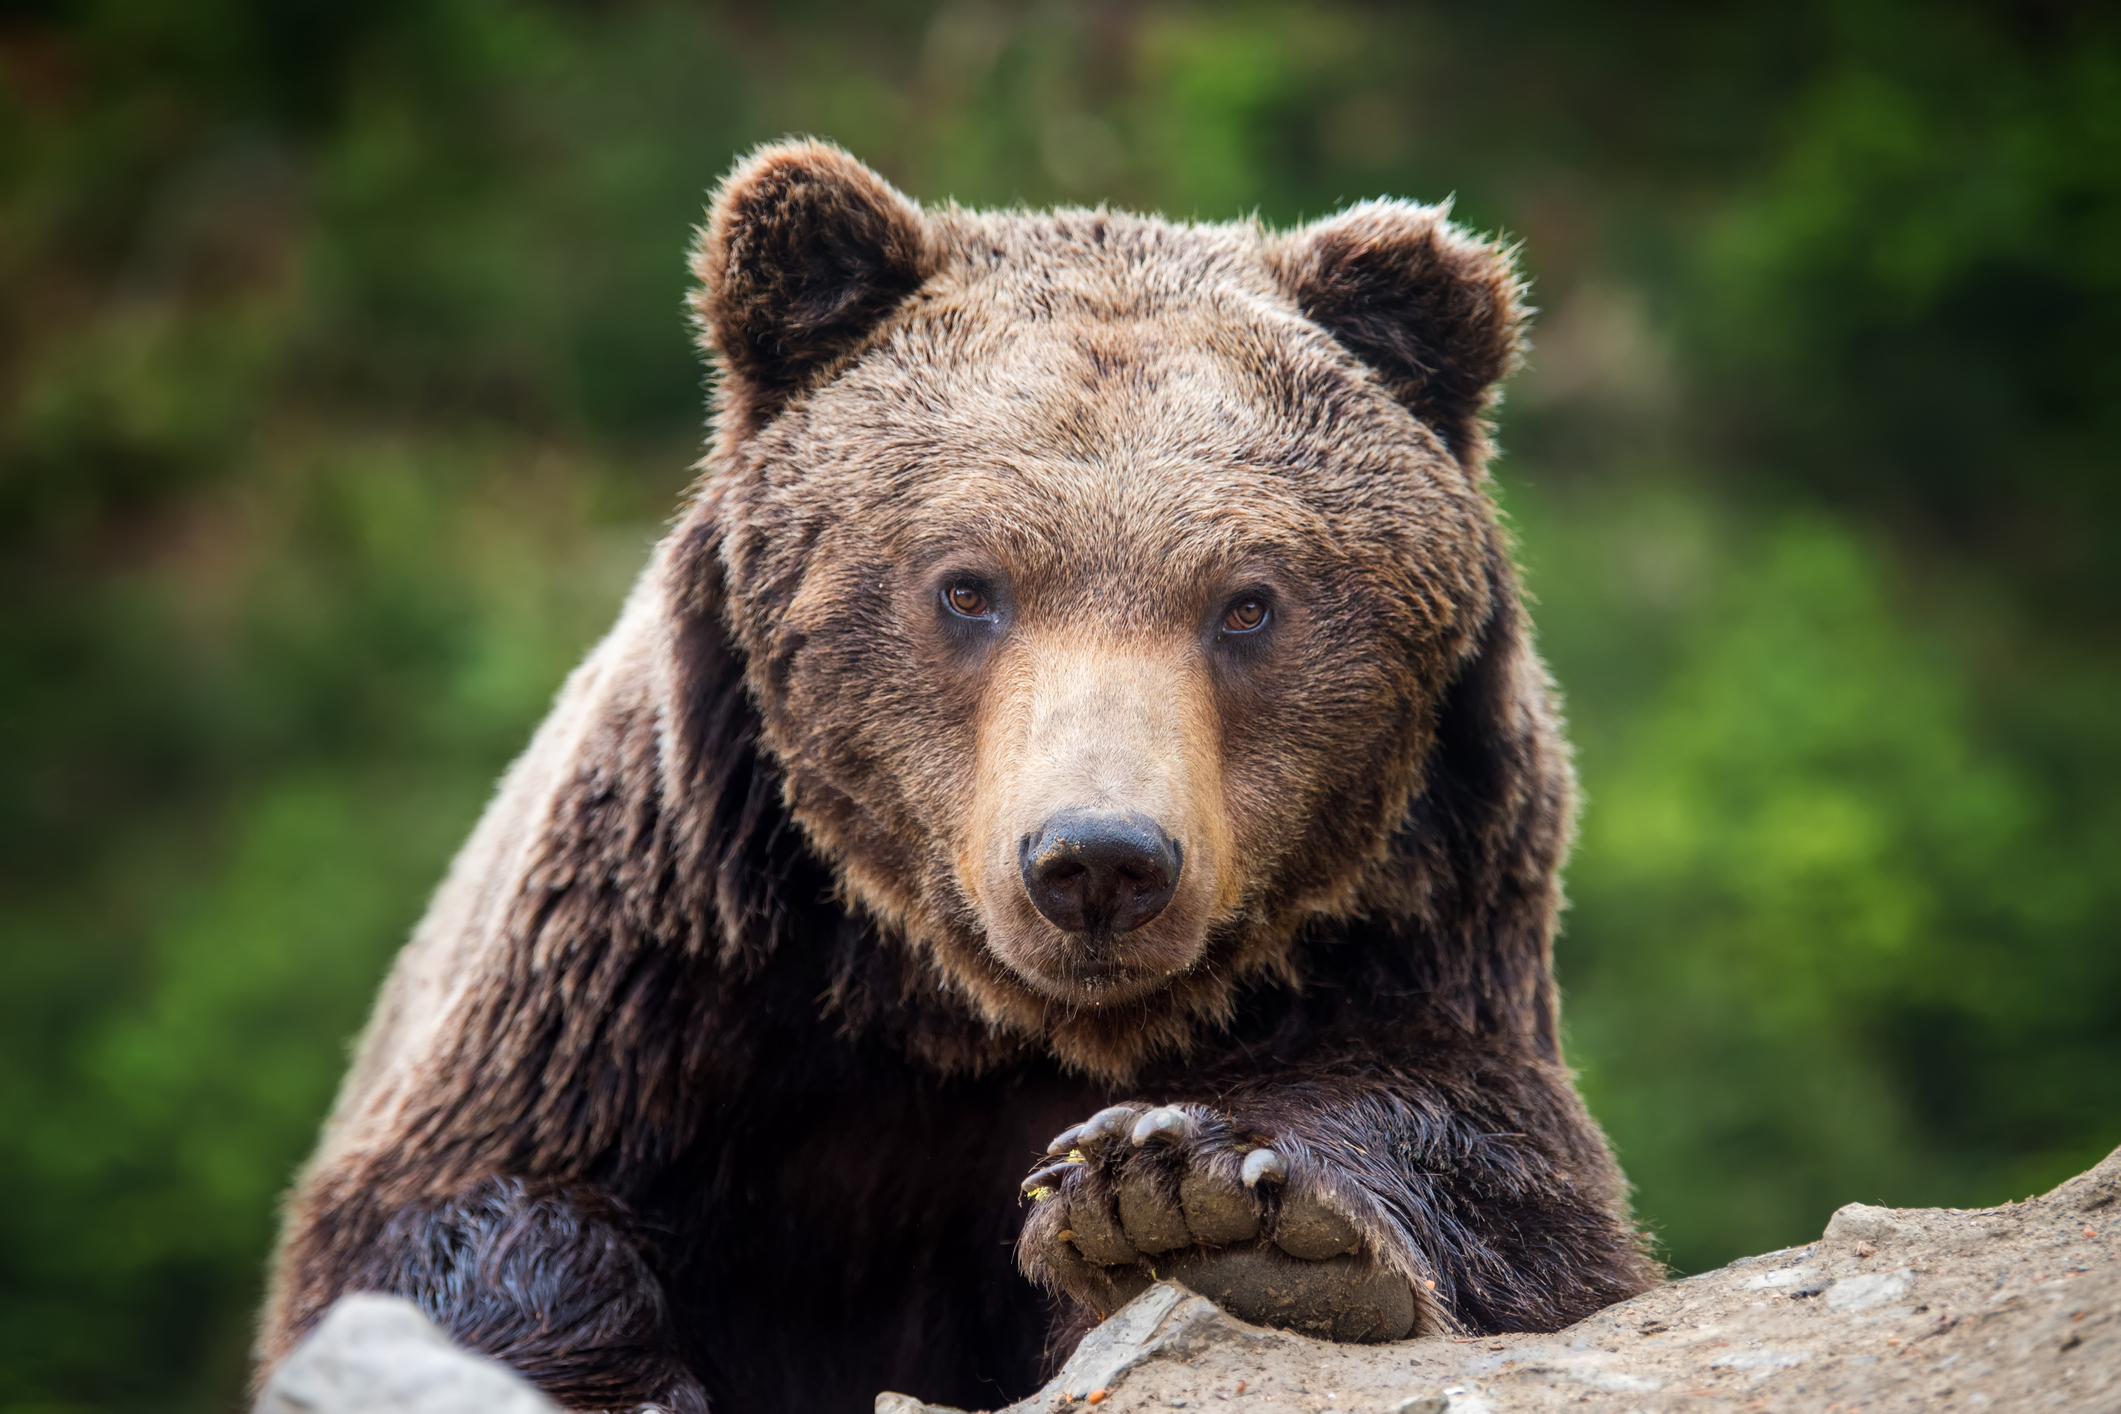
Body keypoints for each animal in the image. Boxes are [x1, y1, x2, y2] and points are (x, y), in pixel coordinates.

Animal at [260, 140, 1654, 1414]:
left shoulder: (1416, 923)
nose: (1099, 860)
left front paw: (1201, 1200)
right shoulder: (658, 963)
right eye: (967, 585)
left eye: (1249, 603)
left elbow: (1514, 1178)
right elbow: (443, 1213)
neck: (958, 1014)